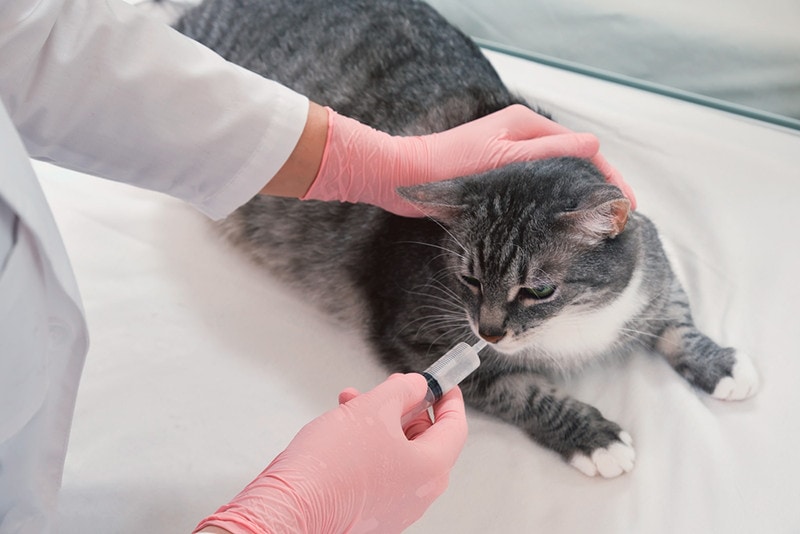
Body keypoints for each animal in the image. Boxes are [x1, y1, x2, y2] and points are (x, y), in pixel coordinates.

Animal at [172, 0, 760, 480]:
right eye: (469, 279)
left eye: (538, 291)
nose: (489, 331)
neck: (574, 328)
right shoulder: (414, 339)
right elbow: (518, 390)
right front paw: (593, 437)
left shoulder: (649, 261)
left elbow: (677, 318)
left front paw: (721, 365)